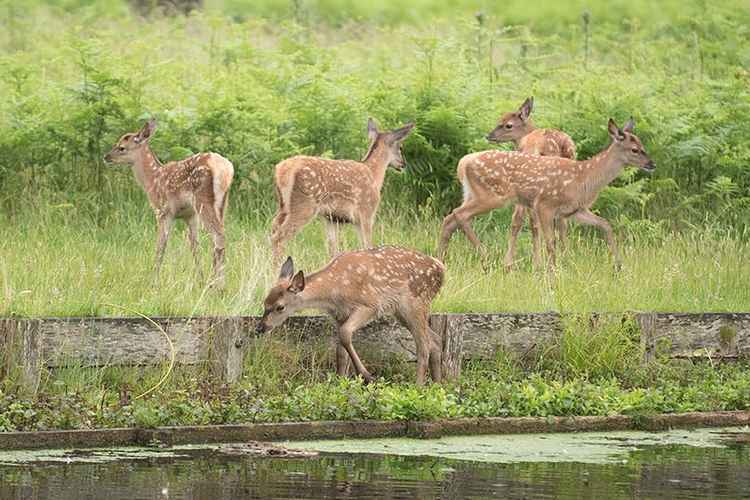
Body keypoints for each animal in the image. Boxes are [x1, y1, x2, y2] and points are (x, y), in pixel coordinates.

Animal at [101, 118, 234, 288]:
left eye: (121, 147)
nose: (106, 157)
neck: (152, 180)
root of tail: (226, 168)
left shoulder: (163, 210)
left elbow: (161, 245)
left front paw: (153, 282)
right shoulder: (190, 215)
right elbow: (194, 246)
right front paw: (200, 279)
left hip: (203, 200)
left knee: (218, 236)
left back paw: (218, 285)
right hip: (222, 203)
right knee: (218, 237)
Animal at [258, 248, 446, 384]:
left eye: (280, 307)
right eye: (264, 302)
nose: (261, 327)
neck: (334, 291)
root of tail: (442, 270)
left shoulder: (370, 305)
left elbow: (345, 334)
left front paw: (367, 375)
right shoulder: (339, 315)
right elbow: (340, 351)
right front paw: (341, 383)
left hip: (416, 303)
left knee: (424, 346)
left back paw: (418, 387)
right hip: (402, 311)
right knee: (435, 340)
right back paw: (437, 387)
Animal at [272, 119, 418, 264]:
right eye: (400, 147)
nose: (403, 164)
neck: (374, 174)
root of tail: (282, 170)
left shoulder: (332, 218)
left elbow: (333, 249)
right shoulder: (366, 211)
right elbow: (367, 245)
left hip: (284, 205)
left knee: (274, 229)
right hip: (305, 203)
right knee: (280, 236)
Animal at [438, 118, 656, 270]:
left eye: (643, 146)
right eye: (635, 149)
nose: (651, 164)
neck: (584, 179)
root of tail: (463, 163)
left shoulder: (575, 210)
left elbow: (605, 224)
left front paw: (619, 266)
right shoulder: (544, 204)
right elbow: (550, 242)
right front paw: (551, 272)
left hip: (471, 193)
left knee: (449, 218)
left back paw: (441, 259)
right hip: (491, 195)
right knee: (460, 215)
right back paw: (487, 256)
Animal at [488, 96, 580, 270]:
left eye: (508, 124)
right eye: (499, 119)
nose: (489, 135)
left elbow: (525, 222)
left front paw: (529, 262)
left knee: (528, 220)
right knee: (562, 221)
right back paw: (565, 258)